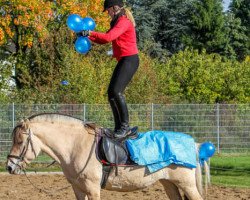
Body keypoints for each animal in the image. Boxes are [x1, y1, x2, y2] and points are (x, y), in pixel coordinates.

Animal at [6, 113, 208, 199]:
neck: (75, 145)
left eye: (20, 141)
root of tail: (193, 144)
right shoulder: (78, 189)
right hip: (169, 184)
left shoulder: (93, 188)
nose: (9, 166)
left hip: (187, 185)